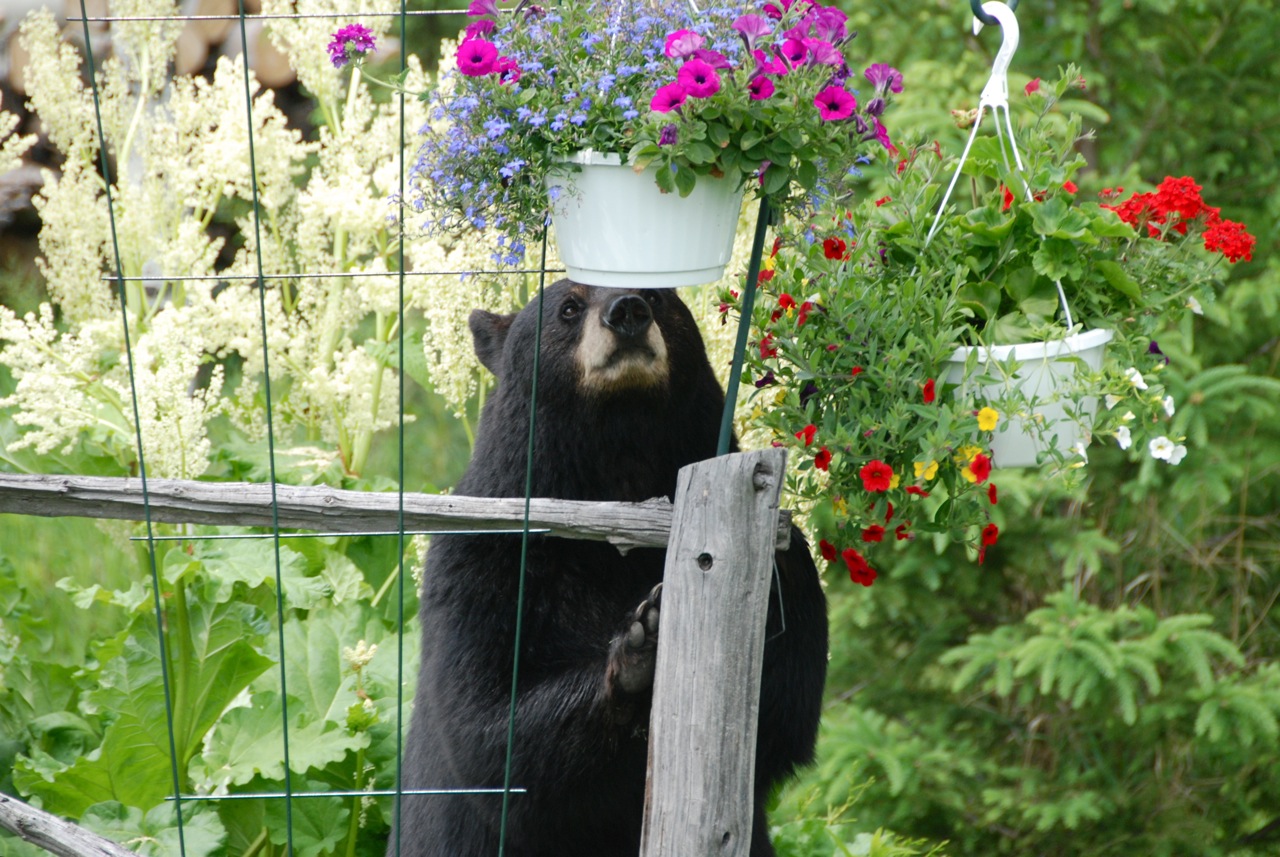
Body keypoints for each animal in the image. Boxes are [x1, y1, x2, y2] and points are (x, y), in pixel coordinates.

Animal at [392, 279, 828, 857]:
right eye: (568, 307)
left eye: (657, 294)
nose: (628, 311)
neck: (617, 471)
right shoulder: (485, 554)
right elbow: (486, 728)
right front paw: (644, 643)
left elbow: (780, 719)